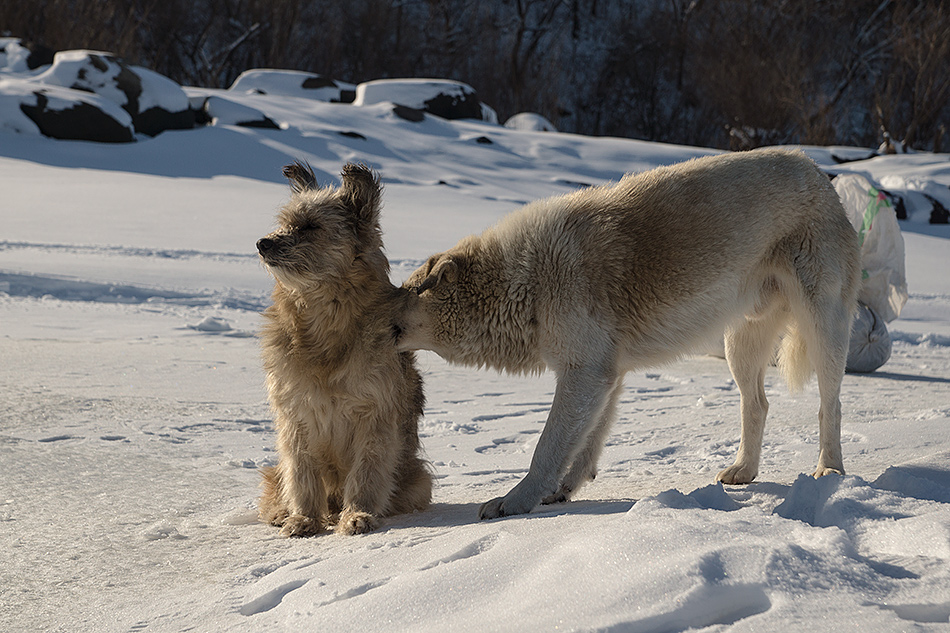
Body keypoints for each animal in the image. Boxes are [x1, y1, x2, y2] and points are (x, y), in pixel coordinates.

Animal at [255, 162, 430, 532]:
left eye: (311, 226)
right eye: (285, 222)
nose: (263, 243)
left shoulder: (375, 415)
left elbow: (367, 472)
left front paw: (358, 514)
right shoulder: (295, 416)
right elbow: (301, 474)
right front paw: (303, 518)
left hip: (418, 479)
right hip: (274, 473)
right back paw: (282, 512)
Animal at [398, 148, 868, 520]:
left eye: (401, 294)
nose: (382, 309)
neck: (523, 278)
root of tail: (817, 172)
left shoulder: (584, 373)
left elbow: (547, 447)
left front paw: (514, 502)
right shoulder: (604, 376)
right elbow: (583, 446)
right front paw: (561, 491)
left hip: (822, 329)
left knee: (830, 404)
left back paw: (829, 470)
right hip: (740, 347)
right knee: (757, 405)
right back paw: (743, 471)